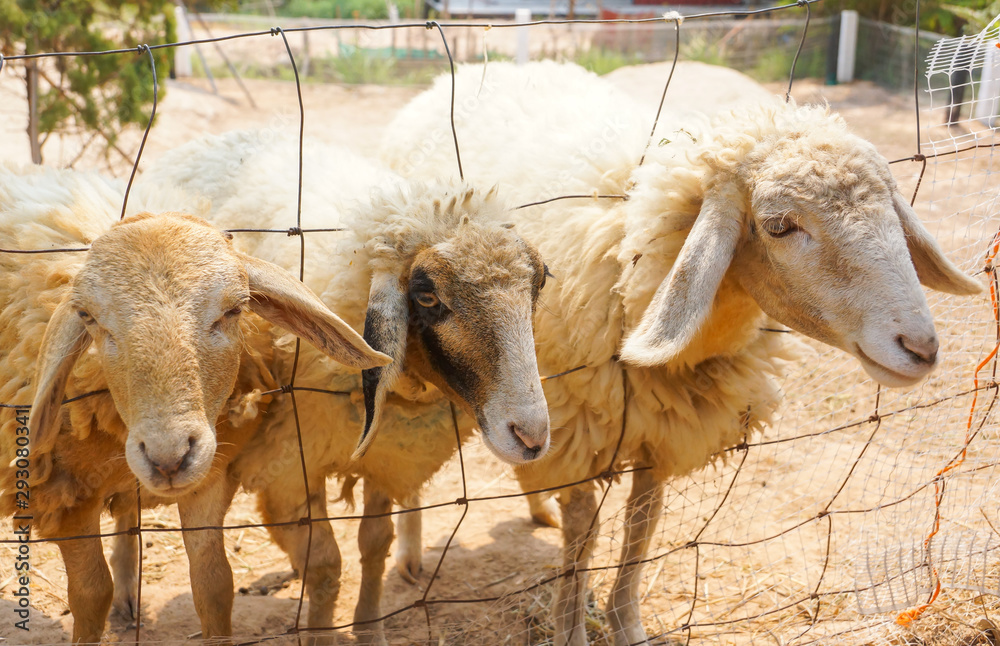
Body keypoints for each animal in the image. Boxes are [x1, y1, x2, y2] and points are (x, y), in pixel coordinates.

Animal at [0, 161, 389, 644]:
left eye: (235, 309)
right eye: (89, 318)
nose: (168, 457)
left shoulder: (210, 476)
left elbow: (214, 584)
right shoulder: (64, 497)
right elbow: (90, 595)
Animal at [129, 130, 552, 643]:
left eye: (541, 281)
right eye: (427, 296)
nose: (531, 437)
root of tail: (210, 139)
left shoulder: (385, 452)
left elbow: (374, 545)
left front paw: (368, 627)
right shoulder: (289, 467)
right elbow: (327, 566)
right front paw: (320, 630)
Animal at [378, 61, 983, 646]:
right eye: (779, 226)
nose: (921, 348)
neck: (628, 257)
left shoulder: (662, 430)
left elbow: (641, 527)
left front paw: (627, 624)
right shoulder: (572, 426)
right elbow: (584, 533)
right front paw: (572, 628)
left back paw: (534, 507)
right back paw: (409, 553)